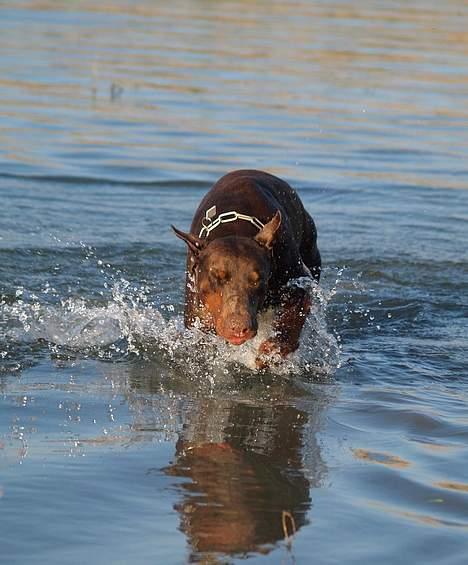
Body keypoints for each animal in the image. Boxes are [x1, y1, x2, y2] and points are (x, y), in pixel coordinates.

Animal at [173, 170, 322, 368]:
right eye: (216, 277)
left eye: (257, 280)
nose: (238, 327)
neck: (235, 229)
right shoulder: (198, 316)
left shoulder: (299, 281)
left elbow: (293, 316)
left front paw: (272, 349)